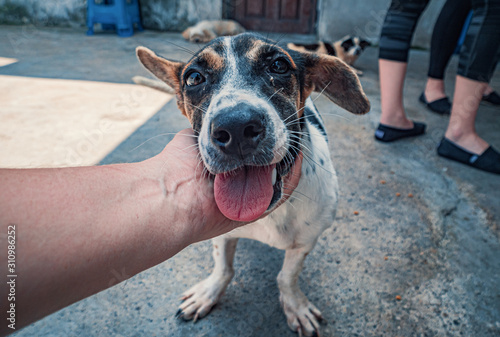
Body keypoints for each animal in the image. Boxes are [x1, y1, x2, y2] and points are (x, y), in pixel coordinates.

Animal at [135, 32, 370, 336]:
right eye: (194, 78)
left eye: (279, 65)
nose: (236, 128)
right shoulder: (220, 236)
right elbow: (223, 268)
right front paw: (208, 293)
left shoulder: (305, 242)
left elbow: (286, 277)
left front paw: (296, 306)